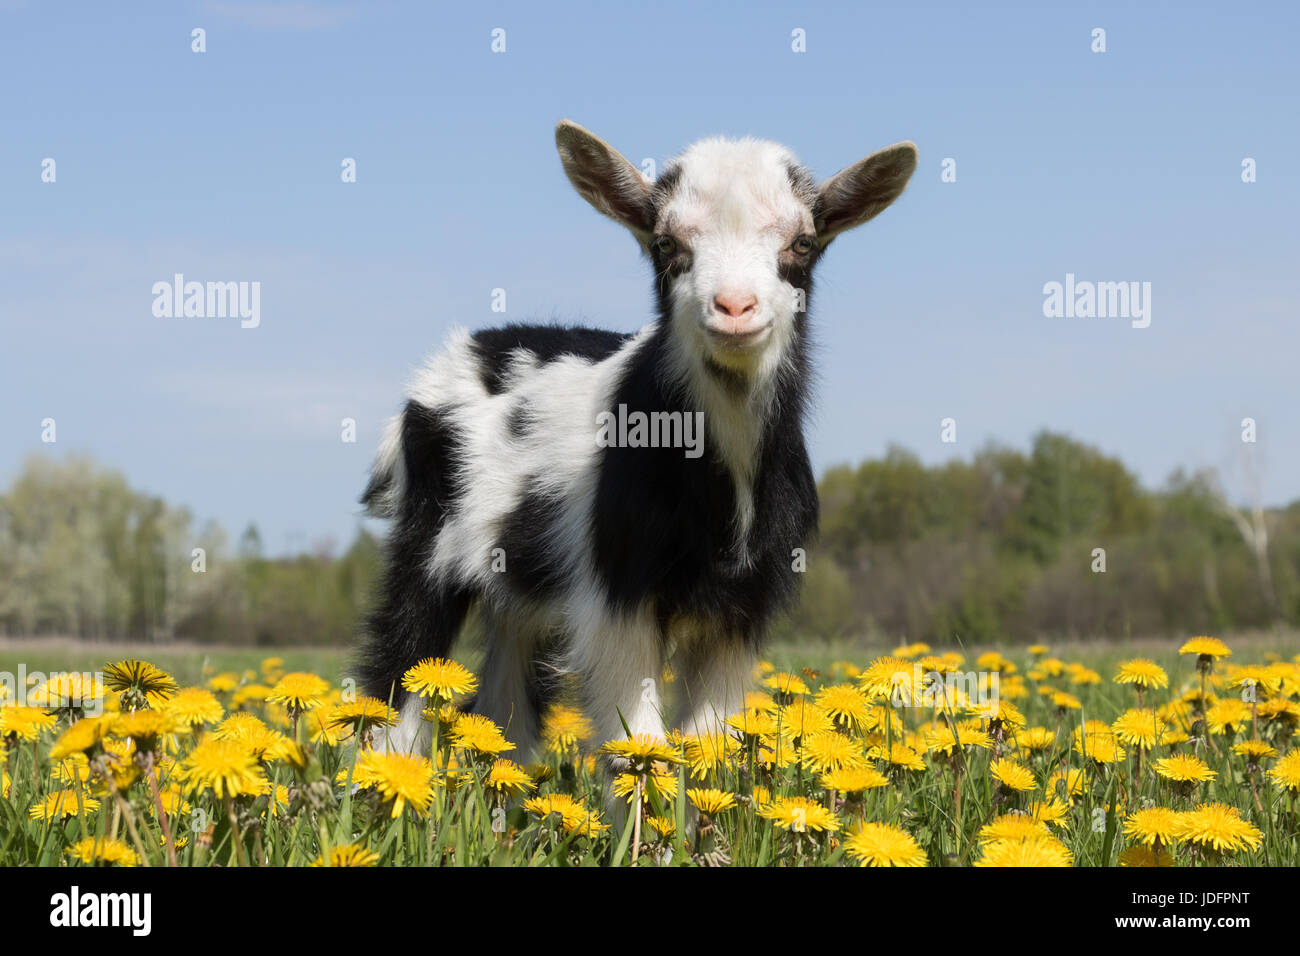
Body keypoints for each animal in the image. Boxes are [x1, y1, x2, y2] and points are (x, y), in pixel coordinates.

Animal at [361, 121, 920, 764]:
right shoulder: (617, 595)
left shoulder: (741, 611)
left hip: (516, 587)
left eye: (802, 243)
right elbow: (640, 750)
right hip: (427, 539)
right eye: (666, 244)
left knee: (504, 708)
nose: (734, 307)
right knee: (398, 670)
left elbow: (707, 744)